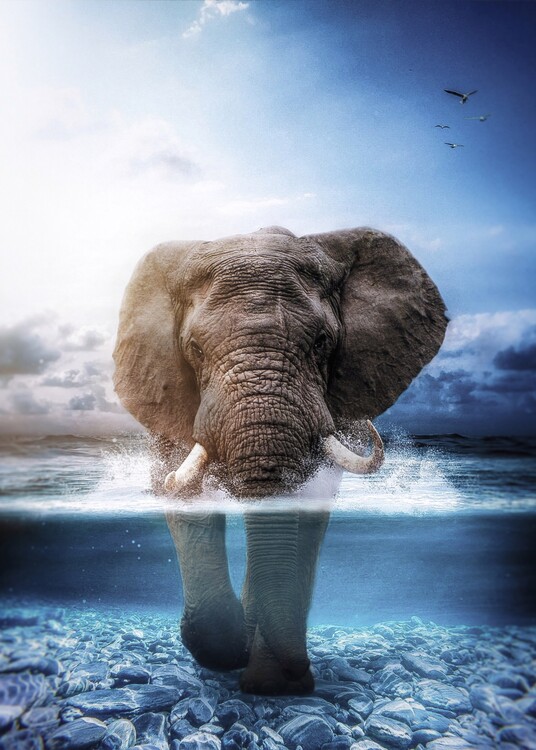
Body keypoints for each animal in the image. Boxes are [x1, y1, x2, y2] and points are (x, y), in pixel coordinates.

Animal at [113, 225, 447, 694]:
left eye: (323, 342)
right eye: (193, 348)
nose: (298, 672)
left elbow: (308, 500)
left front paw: (271, 685)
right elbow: (181, 488)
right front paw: (233, 649)